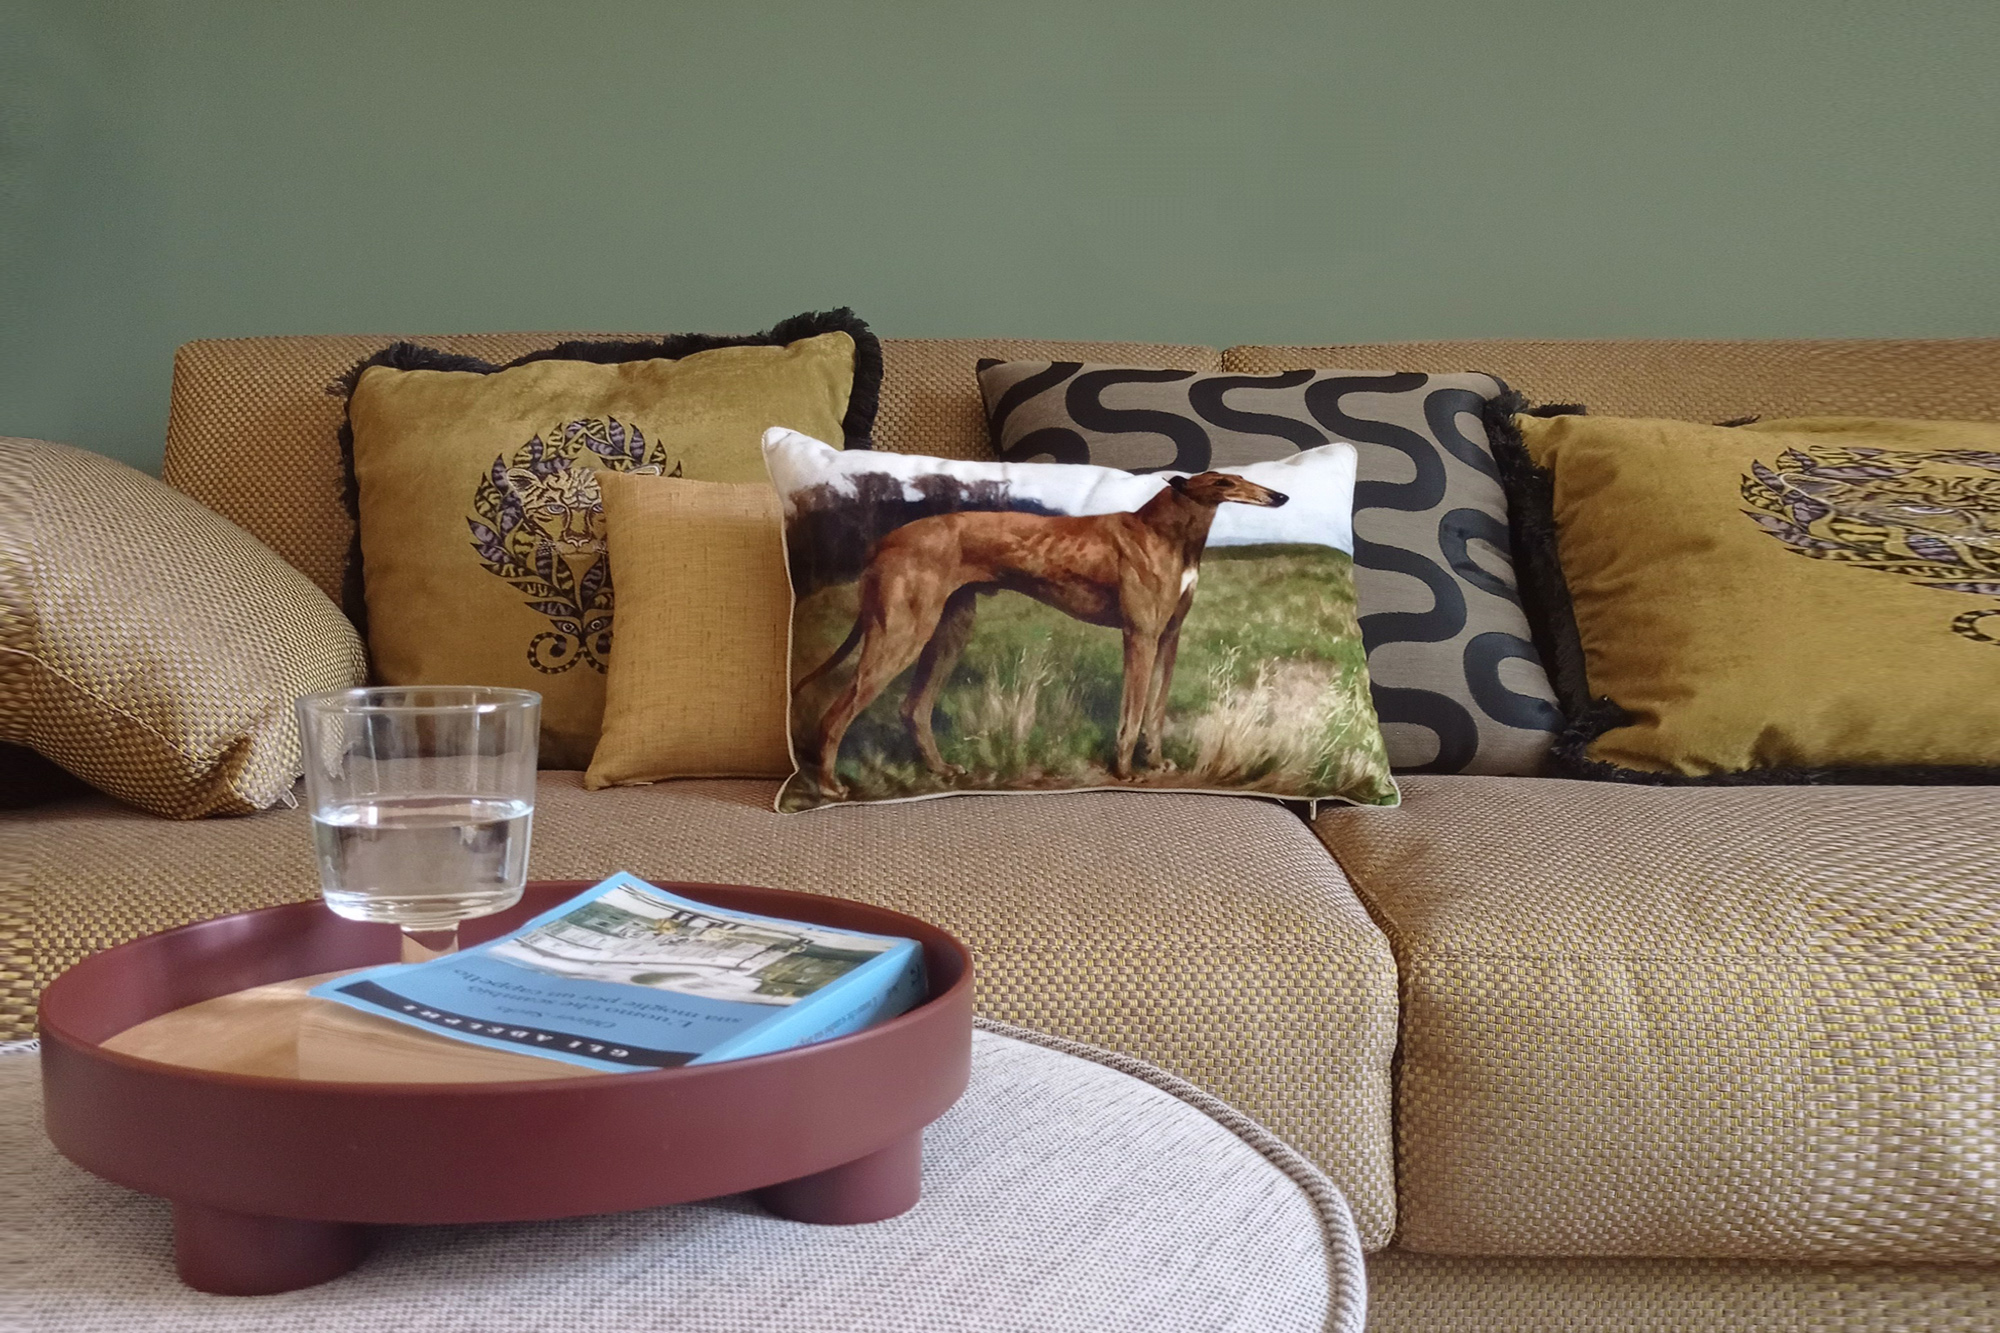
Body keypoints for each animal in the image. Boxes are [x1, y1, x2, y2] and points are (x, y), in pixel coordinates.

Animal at [793, 470, 1289, 797]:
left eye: (1240, 478)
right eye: (1224, 483)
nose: (1280, 495)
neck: (1164, 532)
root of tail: (883, 541)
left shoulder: (1169, 638)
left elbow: (1154, 712)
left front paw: (1155, 761)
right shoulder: (1141, 635)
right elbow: (1130, 715)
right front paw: (1126, 772)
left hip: (949, 631)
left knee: (913, 708)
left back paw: (940, 770)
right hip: (901, 634)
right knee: (834, 715)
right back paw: (830, 785)